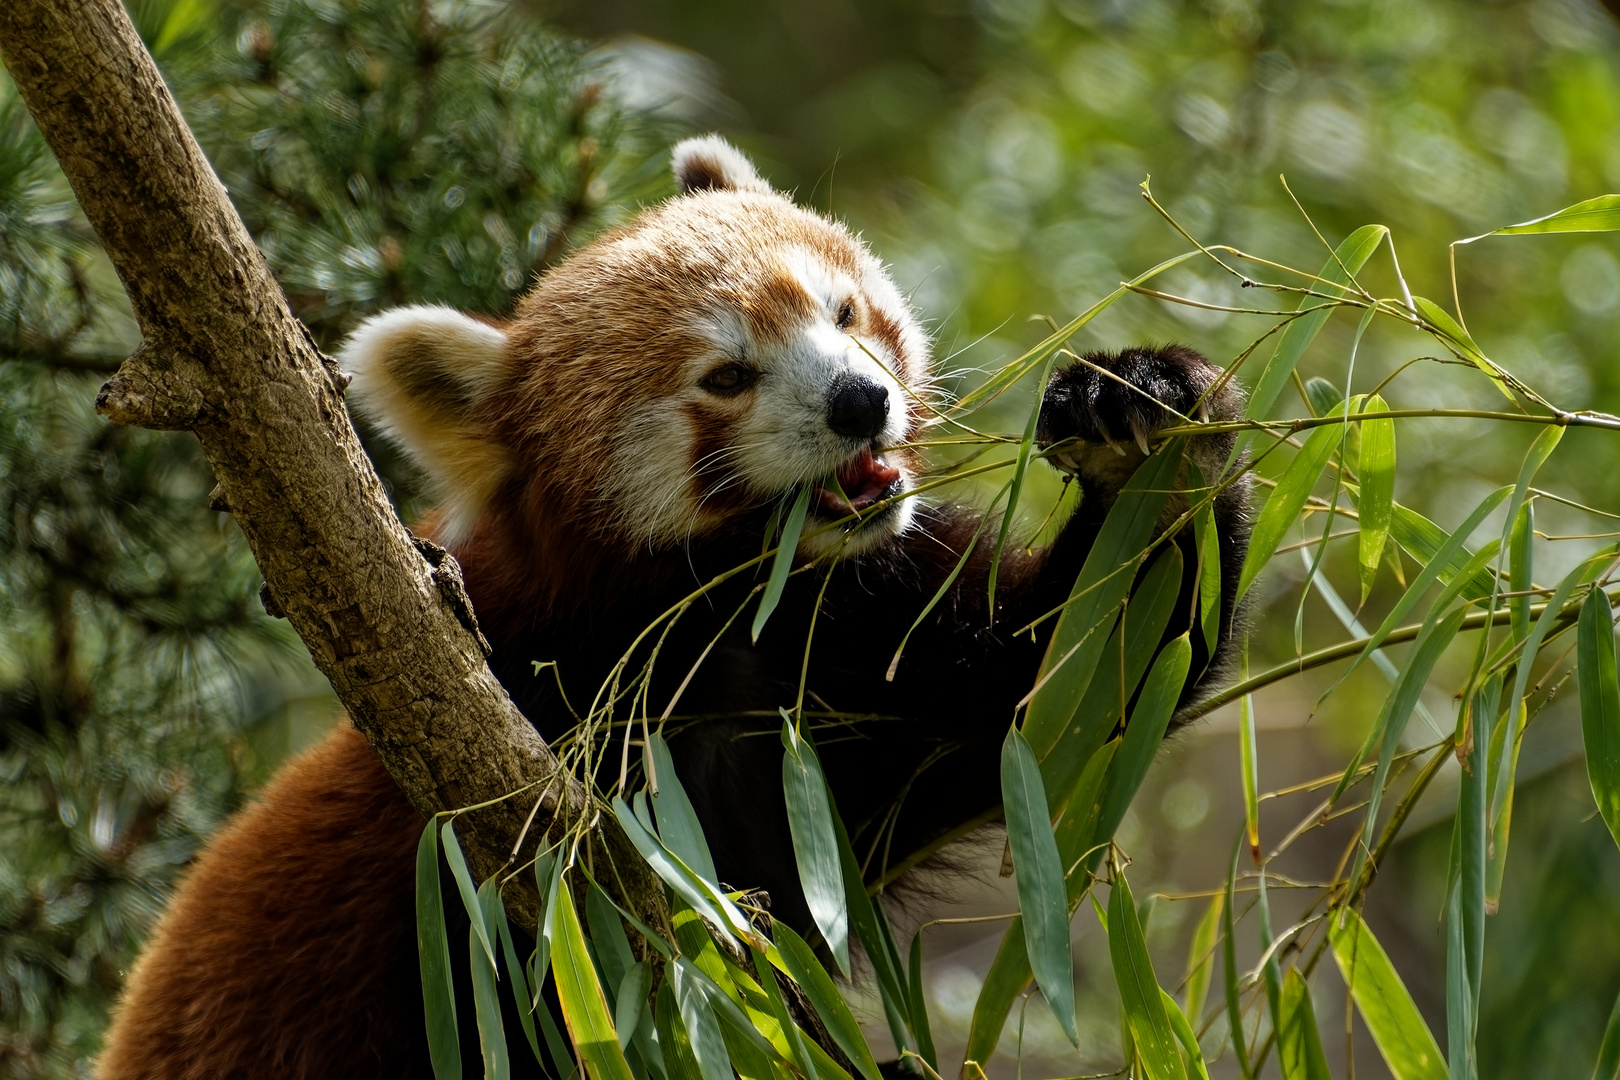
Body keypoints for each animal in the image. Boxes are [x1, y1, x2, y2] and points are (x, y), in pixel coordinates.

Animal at [94, 137, 1244, 1080]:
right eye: (726, 376)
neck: (727, 619)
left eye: (843, 312)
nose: (860, 401)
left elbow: (1066, 683)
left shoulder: (861, 653)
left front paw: (1141, 409)